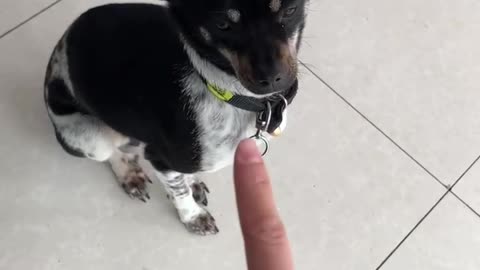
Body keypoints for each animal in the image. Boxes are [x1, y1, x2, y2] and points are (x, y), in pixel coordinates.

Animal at [44, 0, 308, 234]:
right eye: (222, 24)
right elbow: (179, 193)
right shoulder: (160, 158)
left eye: (290, 11)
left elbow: (182, 180)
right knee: (110, 154)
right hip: (90, 136)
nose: (273, 78)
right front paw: (193, 217)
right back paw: (128, 173)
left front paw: (192, 182)